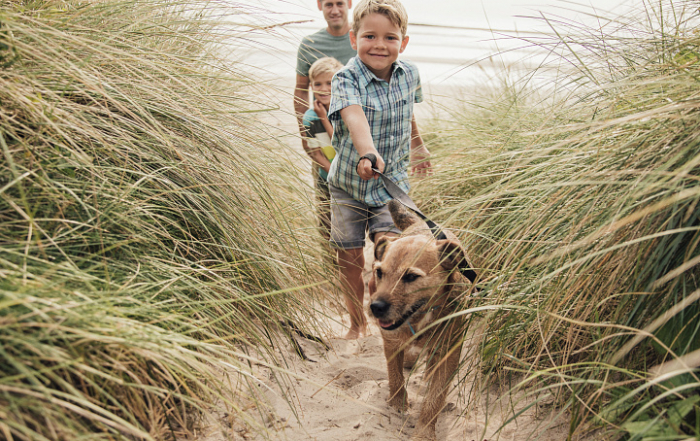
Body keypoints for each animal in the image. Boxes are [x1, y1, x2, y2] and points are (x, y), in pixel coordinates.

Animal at [366, 200, 470, 440]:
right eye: (379, 273)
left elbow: (435, 399)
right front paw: (397, 404)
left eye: (411, 277)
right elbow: (395, 376)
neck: (420, 318)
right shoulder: (391, 342)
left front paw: (424, 432)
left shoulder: (448, 355)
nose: (375, 307)